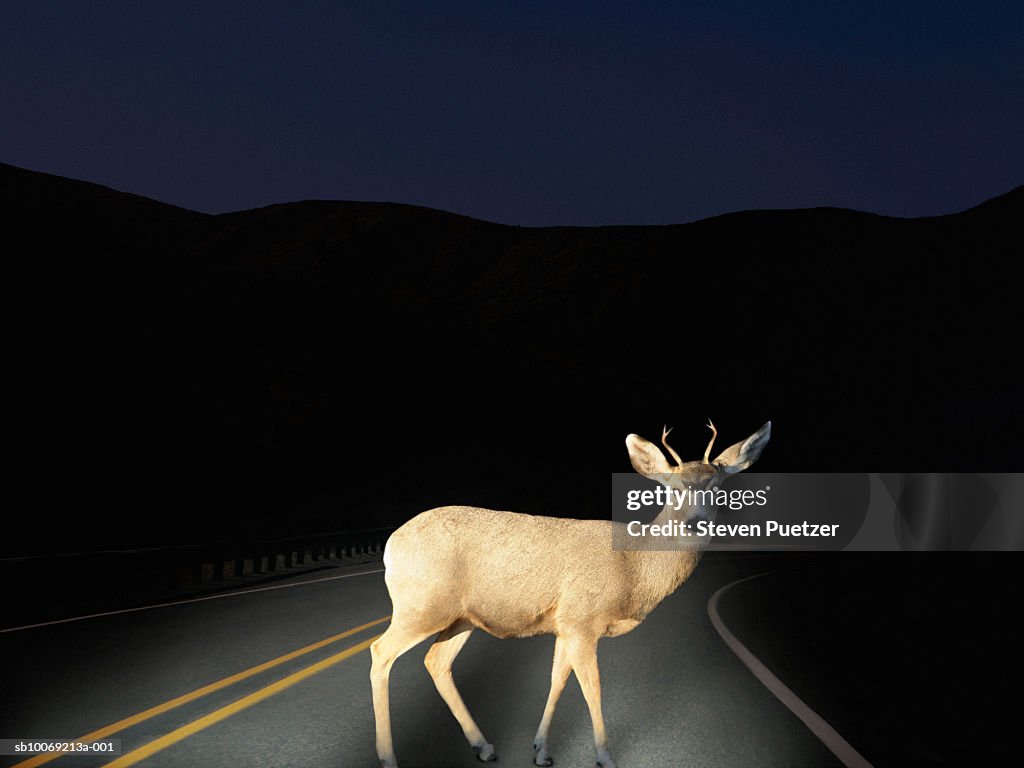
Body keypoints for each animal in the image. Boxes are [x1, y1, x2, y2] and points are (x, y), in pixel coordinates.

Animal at [368, 421, 770, 768]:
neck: (634, 566)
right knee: (380, 652)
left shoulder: (565, 625)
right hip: (420, 606)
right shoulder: (583, 620)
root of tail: (391, 546)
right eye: (673, 488)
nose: (695, 521)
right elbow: (592, 687)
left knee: (436, 661)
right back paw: (389, 758)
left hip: (462, 617)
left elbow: (558, 680)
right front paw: (605, 757)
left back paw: (484, 746)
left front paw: (541, 750)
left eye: (717, 487)